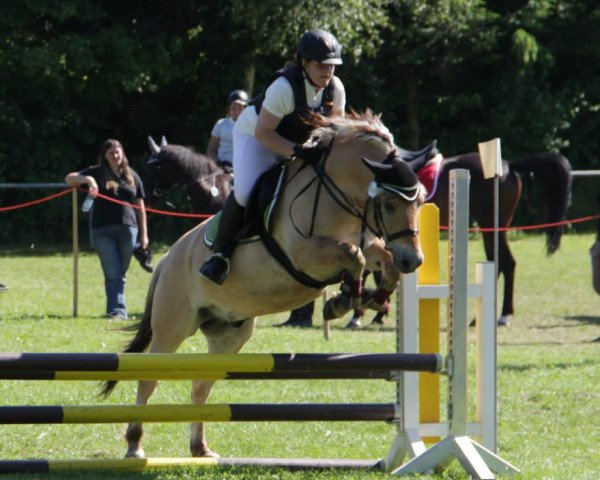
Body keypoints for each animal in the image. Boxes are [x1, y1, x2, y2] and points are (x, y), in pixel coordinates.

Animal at [102, 110, 426, 460]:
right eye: (390, 204)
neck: (334, 194)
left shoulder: (366, 242)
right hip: (172, 328)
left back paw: (200, 448)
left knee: (200, 386)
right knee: (148, 380)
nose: (414, 260)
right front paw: (343, 301)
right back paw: (135, 445)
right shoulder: (303, 254)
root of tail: (166, 261)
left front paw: (370, 299)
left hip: (229, 336)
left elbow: (380, 260)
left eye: (421, 201)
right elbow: (354, 257)